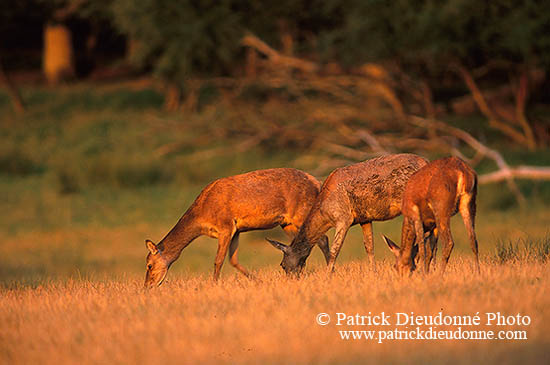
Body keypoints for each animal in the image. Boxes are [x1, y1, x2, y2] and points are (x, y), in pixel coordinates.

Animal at [144, 168, 330, 288]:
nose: (147, 286)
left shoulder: (225, 226)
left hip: (301, 212)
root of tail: (317, 182)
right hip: (287, 223)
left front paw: (214, 285)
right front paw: (257, 281)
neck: (201, 216)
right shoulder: (237, 230)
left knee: (322, 238)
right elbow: (233, 260)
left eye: (149, 265)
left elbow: (218, 260)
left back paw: (330, 270)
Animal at [268, 152, 432, 274]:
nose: (292, 279)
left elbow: (334, 251)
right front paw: (373, 273)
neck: (324, 213)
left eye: (283, 265)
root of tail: (426, 162)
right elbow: (369, 247)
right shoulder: (364, 218)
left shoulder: (343, 218)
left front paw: (328, 276)